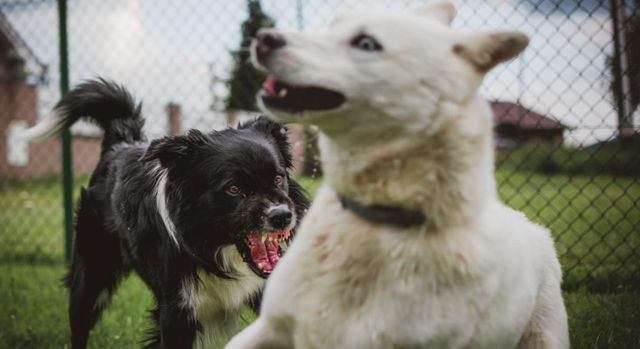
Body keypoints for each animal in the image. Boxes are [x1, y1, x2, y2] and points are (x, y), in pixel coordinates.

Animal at [22, 79, 308, 348]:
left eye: (278, 179)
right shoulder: (176, 314)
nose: (282, 216)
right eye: (234, 188)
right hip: (90, 277)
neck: (214, 248)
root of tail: (122, 142)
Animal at [228, 1, 568, 346]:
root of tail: (528, 224)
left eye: (366, 43)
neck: (375, 222)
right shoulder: (270, 326)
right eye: (334, 24)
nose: (264, 38)